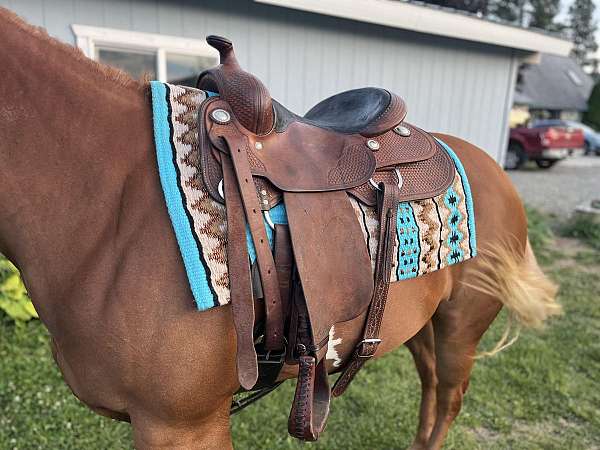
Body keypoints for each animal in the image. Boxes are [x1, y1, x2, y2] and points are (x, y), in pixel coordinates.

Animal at [0, 7, 560, 450]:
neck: (112, 203)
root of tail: (494, 169)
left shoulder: (181, 424)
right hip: (422, 325)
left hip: (460, 327)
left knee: (447, 399)